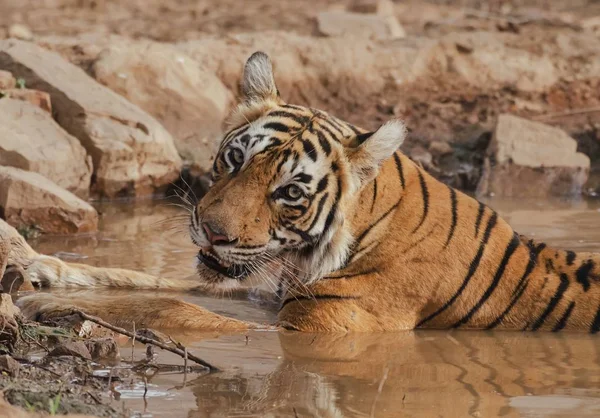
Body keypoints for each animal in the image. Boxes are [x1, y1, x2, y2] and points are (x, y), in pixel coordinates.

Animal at [8, 51, 600, 334]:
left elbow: (173, 308)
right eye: (235, 159)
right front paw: (44, 267)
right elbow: (149, 280)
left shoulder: (320, 329)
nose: (212, 233)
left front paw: (41, 300)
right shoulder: (263, 290)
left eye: (290, 192)